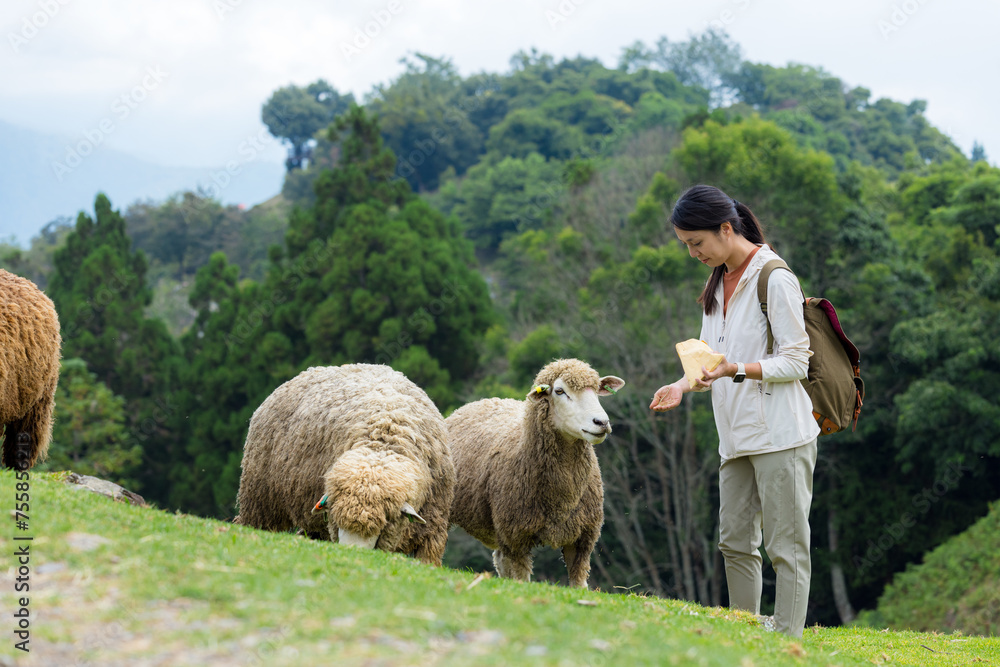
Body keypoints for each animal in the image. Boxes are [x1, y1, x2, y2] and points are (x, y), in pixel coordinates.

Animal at [234, 362, 454, 568]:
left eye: (384, 522)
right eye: (338, 520)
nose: (352, 553)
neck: (381, 442)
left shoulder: (433, 532)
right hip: (260, 498)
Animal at [448, 360, 624, 588]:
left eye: (596, 390)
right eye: (559, 391)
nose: (601, 422)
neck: (563, 498)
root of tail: (480, 401)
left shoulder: (582, 540)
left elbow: (579, 585)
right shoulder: (517, 536)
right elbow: (522, 577)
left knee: (500, 560)